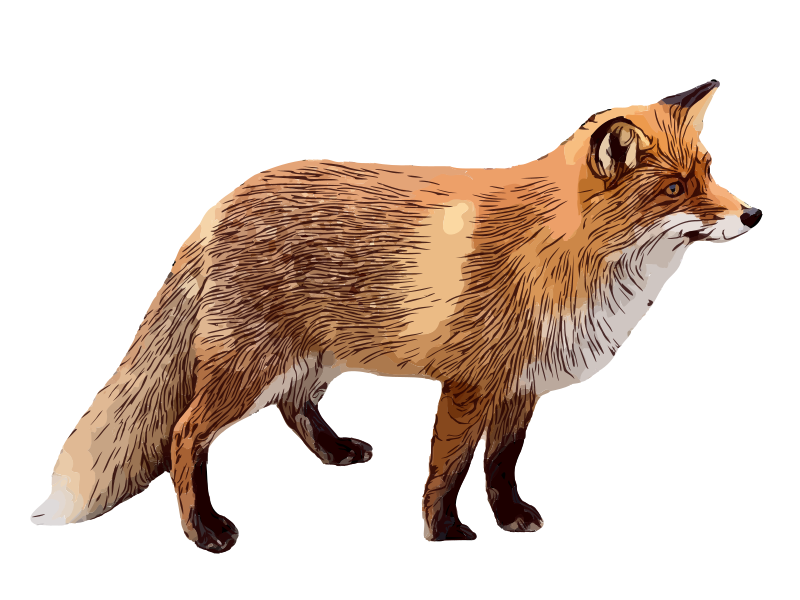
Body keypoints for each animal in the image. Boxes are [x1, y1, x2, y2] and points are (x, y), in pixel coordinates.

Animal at [31, 80, 762, 553]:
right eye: (677, 189)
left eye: (711, 171)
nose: (753, 214)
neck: (568, 254)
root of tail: (221, 204)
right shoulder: (468, 385)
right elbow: (450, 468)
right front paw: (445, 533)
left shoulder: (521, 387)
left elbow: (502, 464)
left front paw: (511, 518)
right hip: (249, 368)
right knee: (185, 436)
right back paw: (203, 532)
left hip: (311, 359)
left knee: (292, 408)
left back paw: (334, 453)